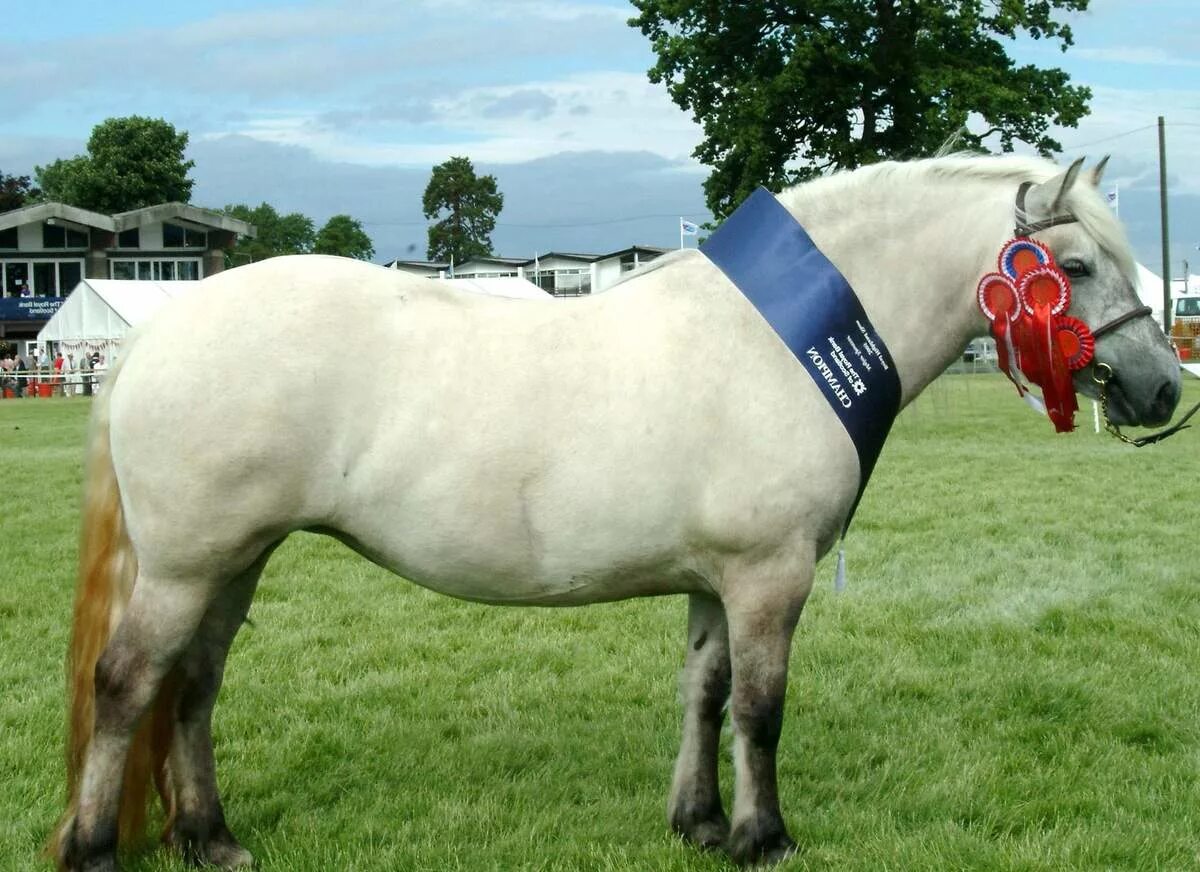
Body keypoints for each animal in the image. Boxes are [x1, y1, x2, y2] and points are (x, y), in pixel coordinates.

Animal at [49, 153, 1180, 868]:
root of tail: (156, 333)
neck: (779, 341)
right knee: (128, 685)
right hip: (190, 565)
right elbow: (762, 709)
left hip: (234, 562)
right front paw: (766, 839)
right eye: (1073, 266)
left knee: (193, 687)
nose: (1163, 388)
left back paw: (211, 838)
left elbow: (705, 695)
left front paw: (701, 824)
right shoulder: (770, 576)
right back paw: (97, 848)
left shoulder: (718, 581)